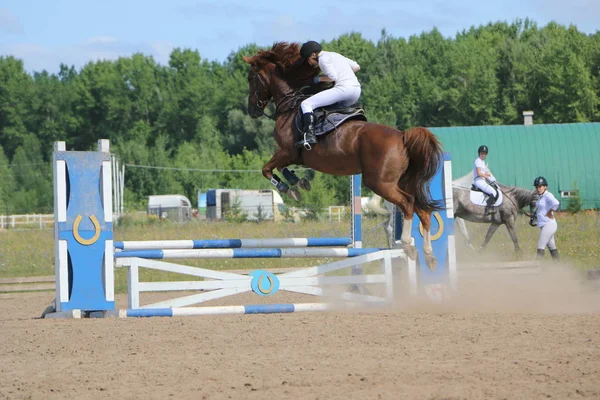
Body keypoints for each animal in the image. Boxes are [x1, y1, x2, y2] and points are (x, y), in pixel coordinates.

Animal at [244, 42, 446, 270]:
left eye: (251, 79)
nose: (252, 110)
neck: (291, 106)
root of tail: (402, 136)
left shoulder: (287, 151)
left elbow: (267, 169)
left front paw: (289, 189)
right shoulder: (291, 155)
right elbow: (280, 168)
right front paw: (298, 182)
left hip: (380, 183)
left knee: (408, 203)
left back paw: (407, 245)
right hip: (402, 181)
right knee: (423, 210)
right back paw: (429, 255)